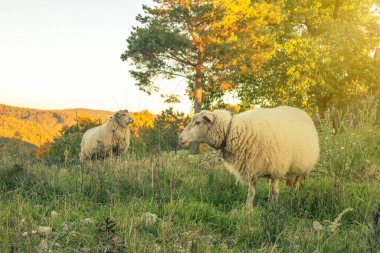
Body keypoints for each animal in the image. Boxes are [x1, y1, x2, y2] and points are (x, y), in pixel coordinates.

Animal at [180, 105, 320, 209]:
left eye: (198, 122)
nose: (180, 138)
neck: (231, 131)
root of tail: (303, 112)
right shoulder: (251, 166)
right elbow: (251, 192)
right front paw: (248, 208)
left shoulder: (276, 169)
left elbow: (275, 191)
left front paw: (272, 208)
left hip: (300, 168)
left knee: (296, 185)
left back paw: (294, 199)